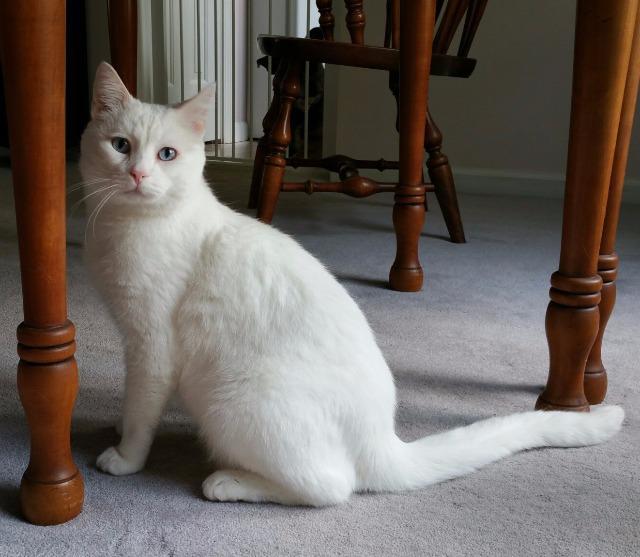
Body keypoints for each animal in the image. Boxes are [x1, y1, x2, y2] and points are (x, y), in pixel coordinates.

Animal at [81, 63, 624, 506]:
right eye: (121, 146)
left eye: (167, 154)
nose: (138, 174)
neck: (124, 227)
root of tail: (383, 440)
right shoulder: (134, 343)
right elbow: (134, 400)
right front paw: (120, 423)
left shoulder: (152, 345)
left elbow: (143, 409)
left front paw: (125, 455)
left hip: (228, 401)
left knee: (331, 486)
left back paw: (229, 482)